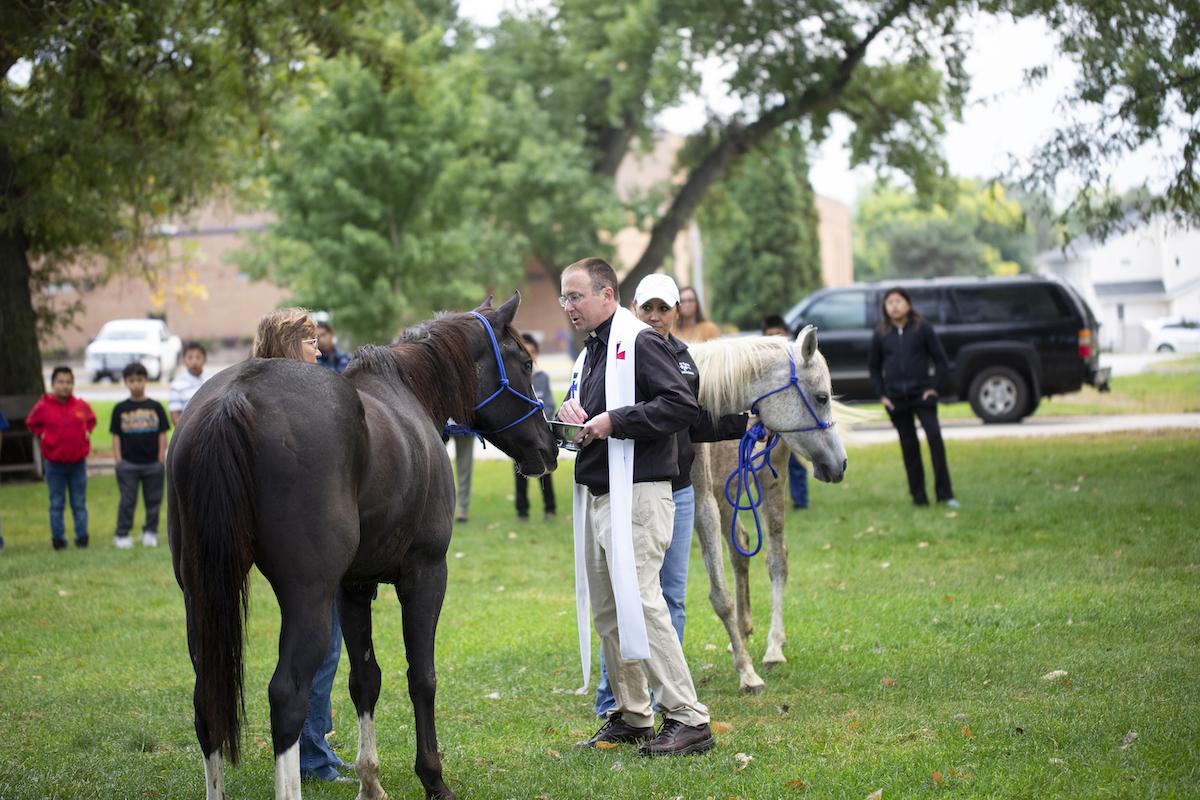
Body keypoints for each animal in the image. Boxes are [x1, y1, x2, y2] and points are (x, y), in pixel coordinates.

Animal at [168, 296, 556, 800]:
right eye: (525, 362)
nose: (550, 446)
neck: (408, 395)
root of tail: (236, 397)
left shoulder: (352, 587)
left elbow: (365, 680)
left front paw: (369, 780)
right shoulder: (426, 574)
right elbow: (421, 677)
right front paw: (433, 778)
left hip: (200, 593)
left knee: (207, 696)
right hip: (305, 598)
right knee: (286, 695)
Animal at [691, 326, 849, 695]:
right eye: (822, 397)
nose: (841, 463)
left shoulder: (701, 504)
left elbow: (720, 596)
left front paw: (747, 673)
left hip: (766, 486)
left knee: (777, 560)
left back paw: (773, 648)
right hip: (728, 495)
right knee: (741, 551)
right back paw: (743, 631)